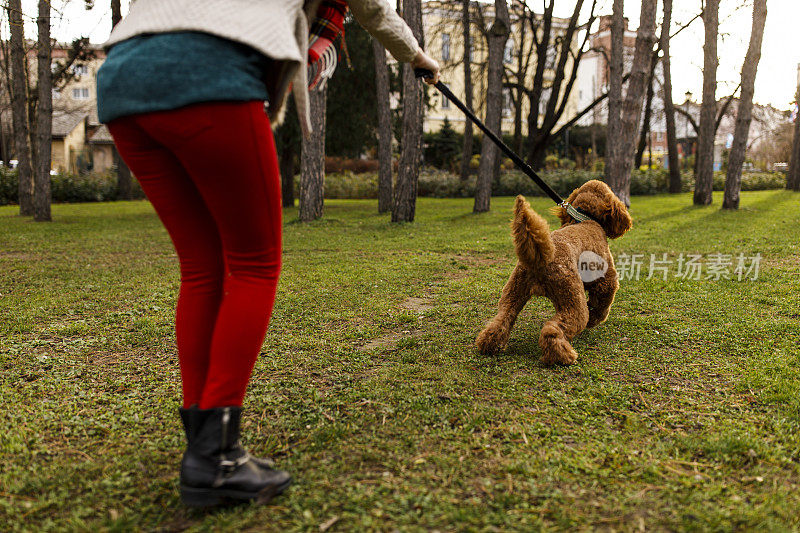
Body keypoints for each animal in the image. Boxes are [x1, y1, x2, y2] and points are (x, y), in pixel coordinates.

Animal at [476, 181, 632, 364]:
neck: (585, 218)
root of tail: (542, 259)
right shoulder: (606, 280)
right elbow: (603, 304)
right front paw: (594, 319)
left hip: (514, 291)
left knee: (502, 319)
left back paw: (489, 344)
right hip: (571, 297)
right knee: (553, 330)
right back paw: (562, 356)